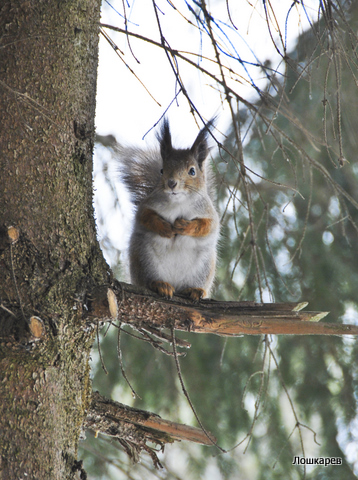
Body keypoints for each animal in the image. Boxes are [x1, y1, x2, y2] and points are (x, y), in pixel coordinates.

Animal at [116, 118, 220, 300]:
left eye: (192, 171)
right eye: (162, 170)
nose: (172, 183)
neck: (178, 202)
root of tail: (175, 285)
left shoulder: (208, 212)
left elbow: (206, 226)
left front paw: (185, 226)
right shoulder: (148, 205)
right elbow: (146, 217)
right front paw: (165, 228)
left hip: (204, 267)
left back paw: (195, 290)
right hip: (145, 260)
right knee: (150, 280)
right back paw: (160, 285)